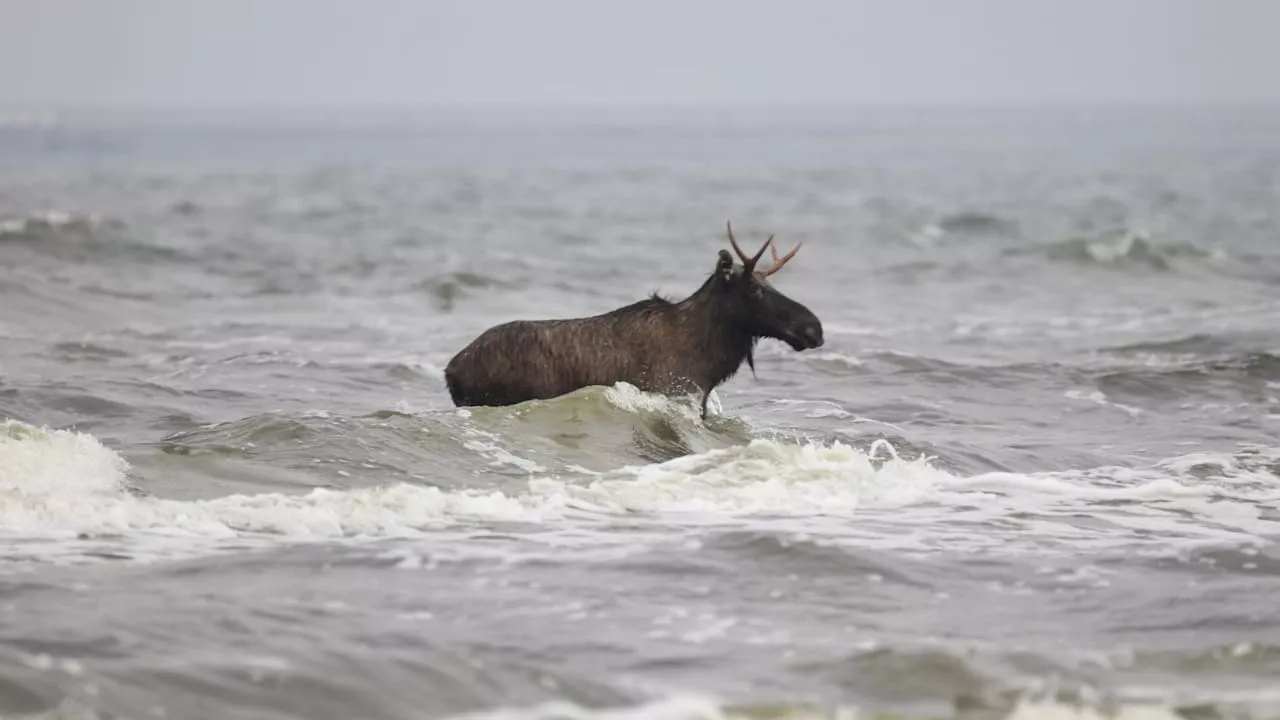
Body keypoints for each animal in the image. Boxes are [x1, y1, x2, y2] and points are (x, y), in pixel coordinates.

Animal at [445, 221, 824, 417]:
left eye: (769, 283)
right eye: (754, 290)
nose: (813, 328)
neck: (707, 353)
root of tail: (451, 371)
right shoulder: (673, 393)